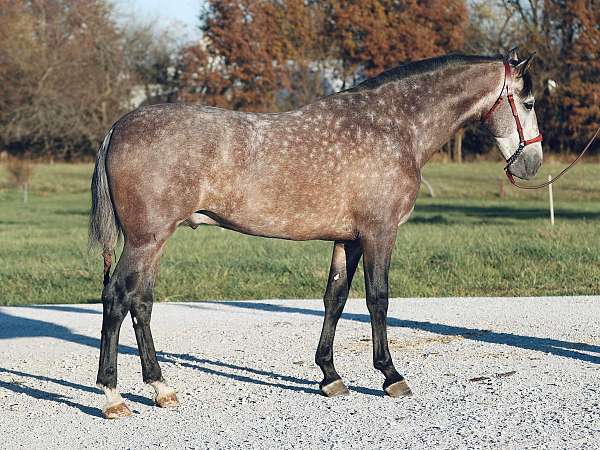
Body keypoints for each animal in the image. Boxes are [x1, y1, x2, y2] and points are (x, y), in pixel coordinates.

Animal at [89, 49, 544, 418]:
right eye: (528, 102)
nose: (532, 163)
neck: (396, 125)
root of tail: (117, 128)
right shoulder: (379, 233)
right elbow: (378, 299)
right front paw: (390, 375)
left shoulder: (349, 239)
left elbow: (335, 299)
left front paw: (329, 376)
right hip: (146, 240)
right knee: (116, 298)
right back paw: (112, 397)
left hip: (156, 241)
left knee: (141, 303)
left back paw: (160, 388)